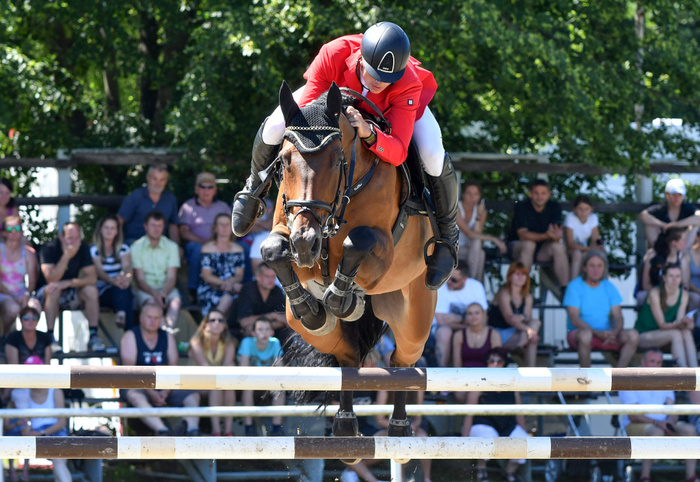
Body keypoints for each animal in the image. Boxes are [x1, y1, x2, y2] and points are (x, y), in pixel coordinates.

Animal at [260, 81, 437, 450]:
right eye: (284, 161)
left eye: (335, 160)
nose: (306, 242)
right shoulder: (288, 229)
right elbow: (273, 249)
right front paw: (312, 305)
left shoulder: (382, 252)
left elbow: (359, 241)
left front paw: (342, 298)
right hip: (303, 326)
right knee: (349, 358)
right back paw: (345, 427)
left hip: (414, 315)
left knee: (403, 363)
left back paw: (399, 428)